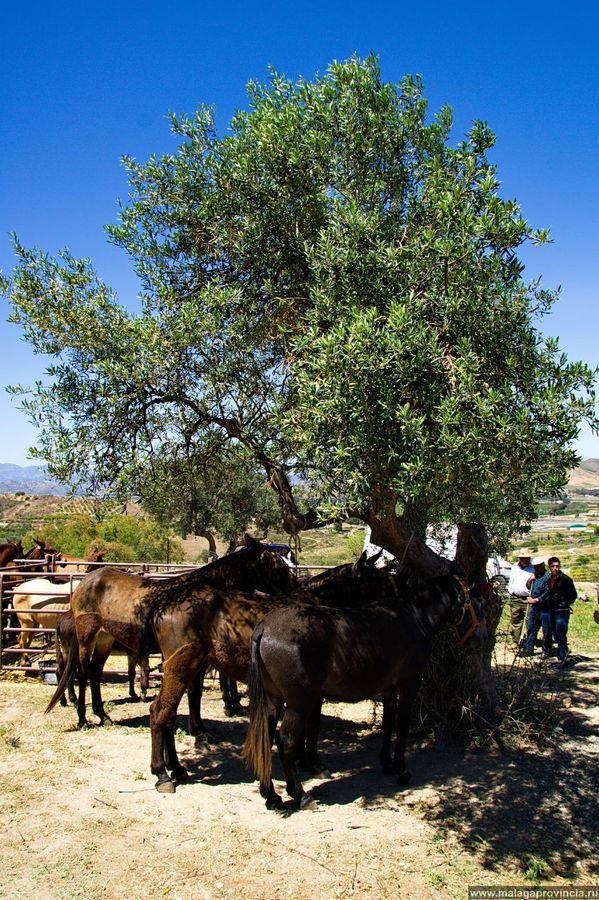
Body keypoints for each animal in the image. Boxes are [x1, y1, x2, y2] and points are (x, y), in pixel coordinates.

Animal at [244, 572, 488, 812]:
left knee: (265, 739)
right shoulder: (409, 686)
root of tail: (265, 626)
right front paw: (402, 769)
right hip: (299, 704)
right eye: (481, 603)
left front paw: (387, 764)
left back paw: (271, 796)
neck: (416, 618)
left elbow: (388, 724)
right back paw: (301, 795)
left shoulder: (389, 691)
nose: (482, 640)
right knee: (286, 741)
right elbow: (402, 727)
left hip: (273, 700)